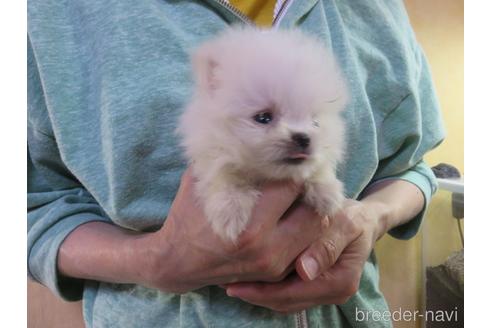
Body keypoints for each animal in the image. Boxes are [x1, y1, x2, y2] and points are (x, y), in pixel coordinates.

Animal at [179, 26, 348, 242]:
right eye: (263, 117)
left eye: (315, 122)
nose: (304, 138)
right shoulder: (212, 156)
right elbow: (224, 176)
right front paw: (230, 210)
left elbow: (318, 168)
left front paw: (326, 191)